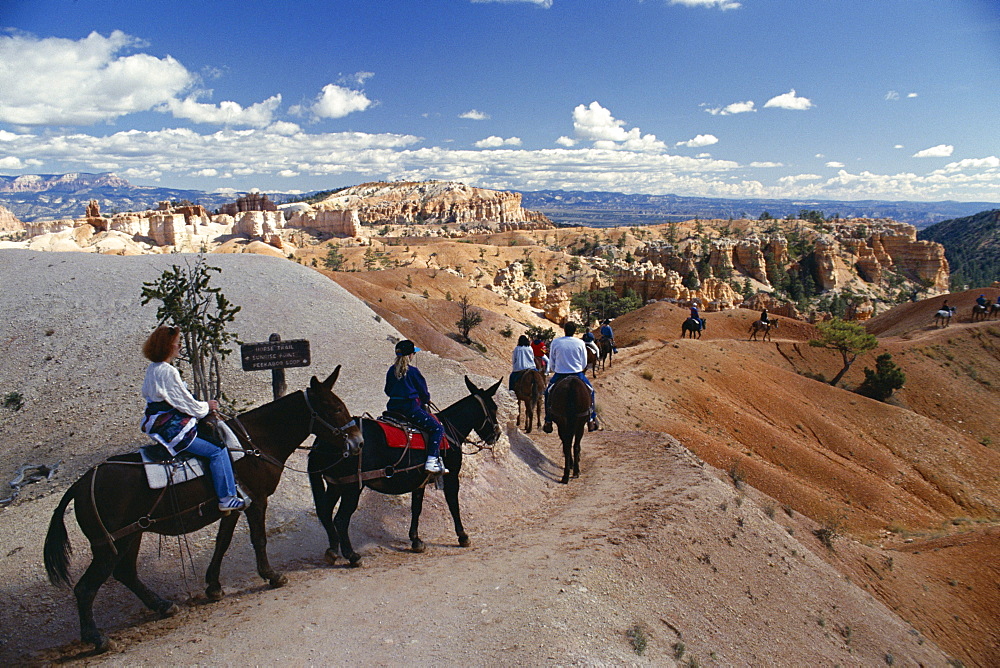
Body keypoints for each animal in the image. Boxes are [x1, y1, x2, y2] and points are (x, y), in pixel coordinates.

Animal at [44, 368, 364, 648]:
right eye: (334, 408)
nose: (359, 442)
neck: (254, 443)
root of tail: (81, 484)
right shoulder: (258, 501)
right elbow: (258, 539)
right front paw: (272, 576)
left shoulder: (234, 505)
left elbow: (222, 542)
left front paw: (213, 586)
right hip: (109, 545)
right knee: (86, 588)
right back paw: (97, 639)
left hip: (131, 535)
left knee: (125, 573)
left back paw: (163, 606)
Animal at [306, 378, 500, 568]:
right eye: (494, 408)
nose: (496, 434)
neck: (448, 428)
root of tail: (321, 442)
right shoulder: (452, 477)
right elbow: (454, 505)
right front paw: (463, 536)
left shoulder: (419, 482)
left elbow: (416, 508)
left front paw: (416, 540)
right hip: (351, 486)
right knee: (341, 519)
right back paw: (352, 556)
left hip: (335, 484)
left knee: (324, 512)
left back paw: (332, 550)